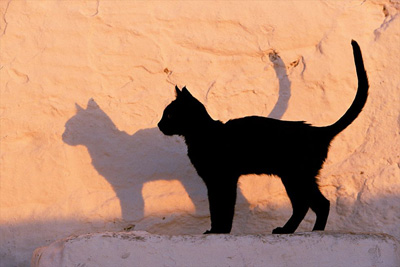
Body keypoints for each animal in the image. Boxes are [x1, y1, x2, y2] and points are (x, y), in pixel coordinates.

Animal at [157, 40, 368, 234]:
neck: (202, 134)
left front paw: (221, 231)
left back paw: (308, 232)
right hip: (296, 177)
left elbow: (224, 207)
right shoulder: (213, 181)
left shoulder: (224, 178)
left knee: (316, 204)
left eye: (169, 115)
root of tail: (318, 130)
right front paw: (215, 230)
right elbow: (215, 207)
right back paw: (292, 230)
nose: (159, 125)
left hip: (296, 176)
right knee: (311, 204)